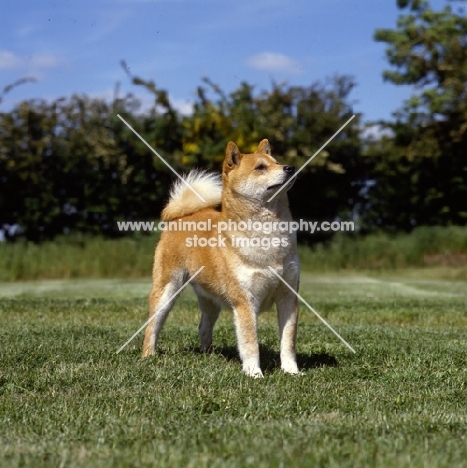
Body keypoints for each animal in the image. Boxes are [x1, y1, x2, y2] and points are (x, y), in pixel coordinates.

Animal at [143, 139, 300, 376]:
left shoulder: (288, 297)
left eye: (277, 162)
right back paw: (148, 356)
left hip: (210, 301)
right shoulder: (245, 302)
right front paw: (254, 373)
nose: (290, 168)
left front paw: (292, 371)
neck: (268, 238)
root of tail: (183, 216)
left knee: (203, 327)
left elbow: (288, 341)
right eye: (260, 167)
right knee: (152, 326)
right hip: (167, 291)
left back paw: (208, 355)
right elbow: (250, 343)